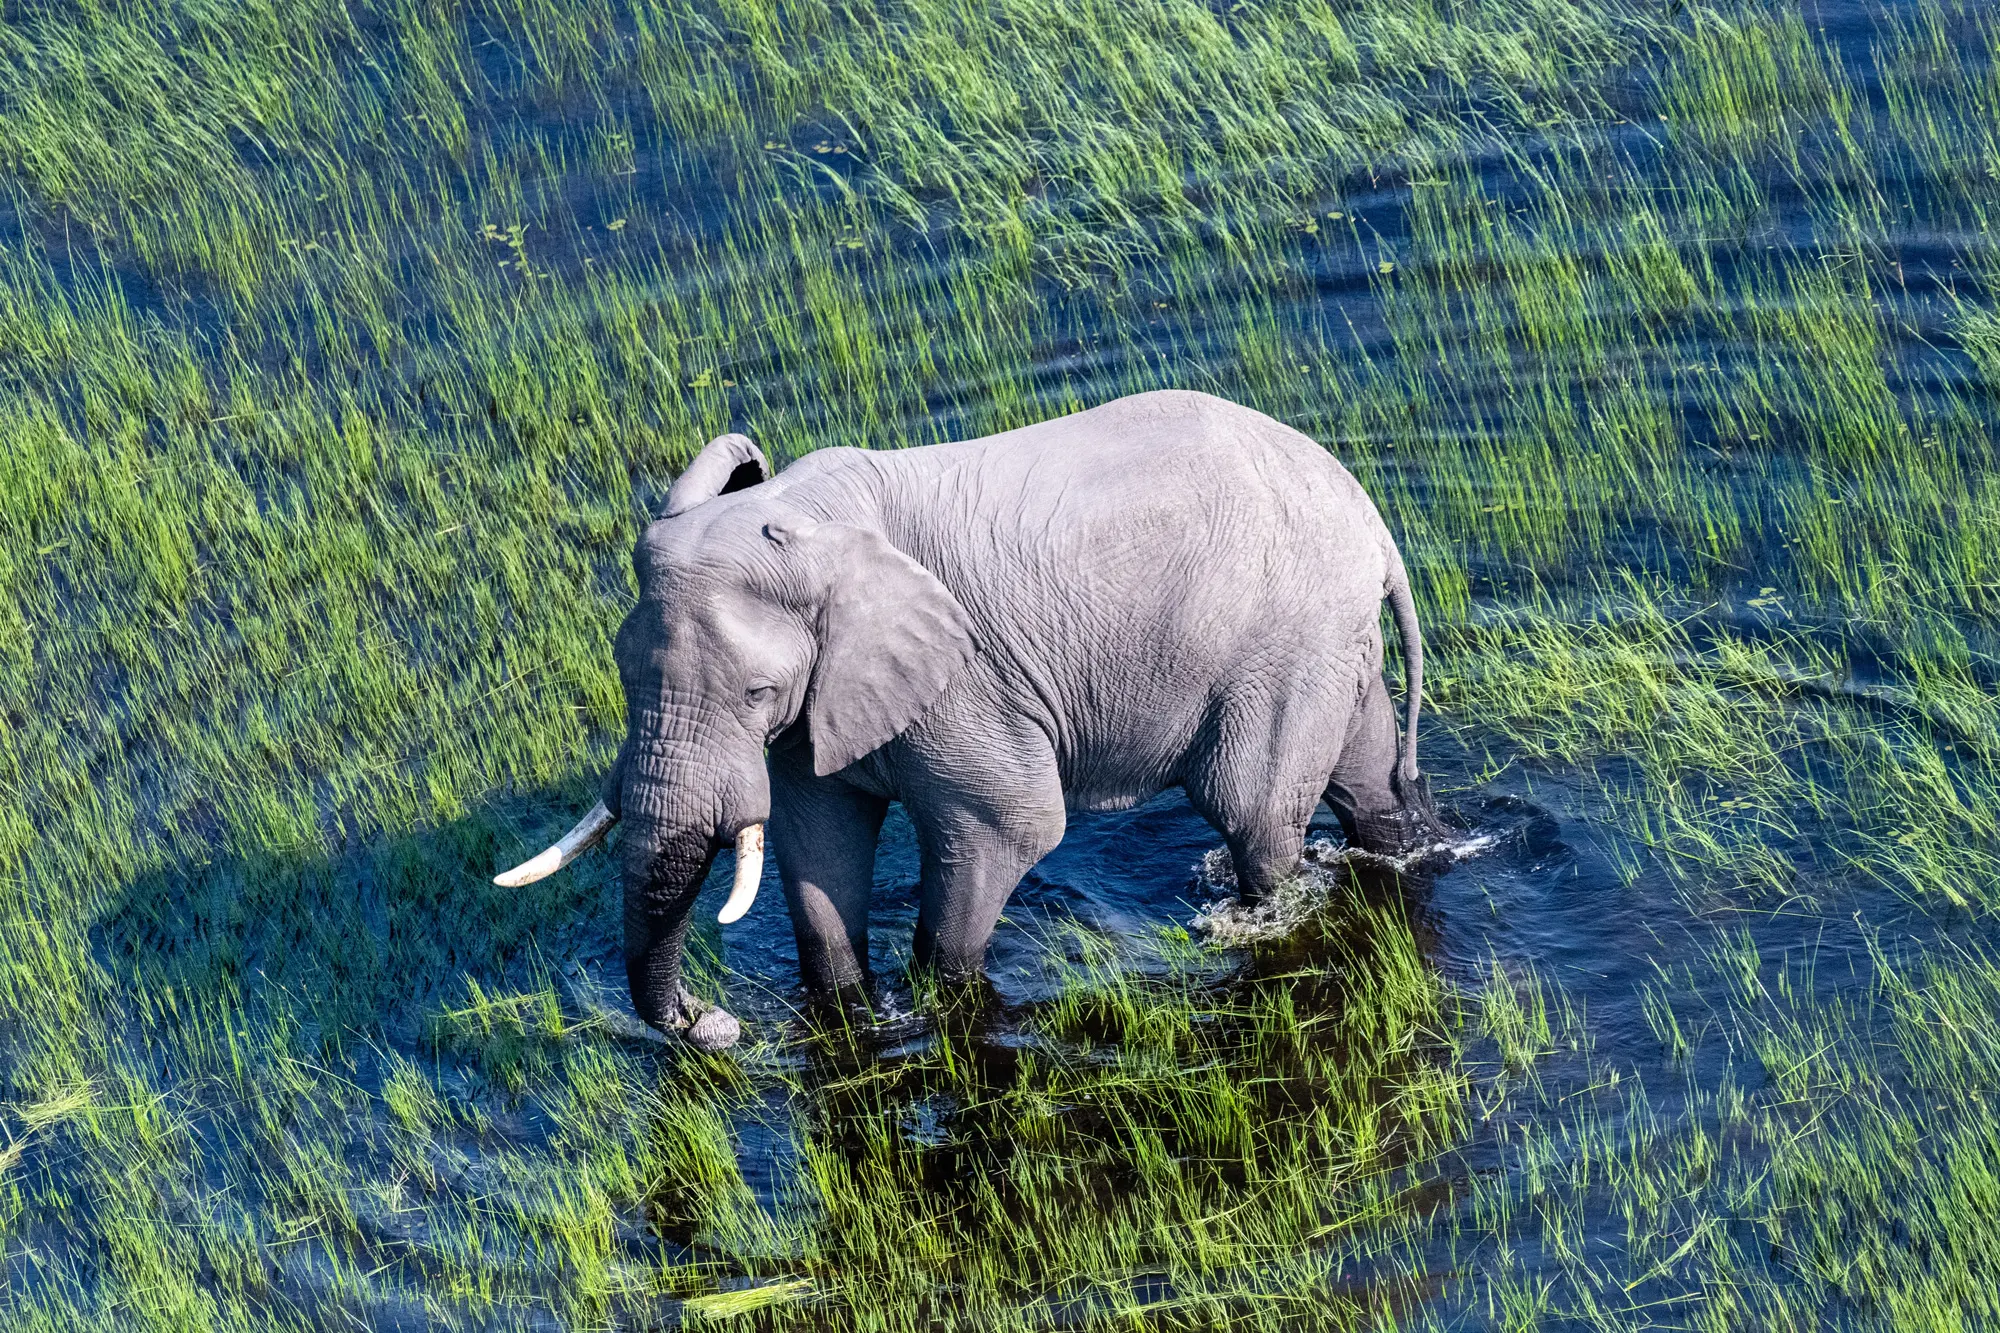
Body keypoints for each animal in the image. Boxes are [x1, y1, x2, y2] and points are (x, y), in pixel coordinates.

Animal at [495, 389, 1440, 1050]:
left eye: (757, 693)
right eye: (622, 677)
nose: (711, 1021)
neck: (809, 516)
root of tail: (1373, 521)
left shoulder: (964, 681)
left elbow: (1008, 825)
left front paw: (935, 1009)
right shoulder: (823, 704)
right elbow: (819, 841)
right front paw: (855, 1015)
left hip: (1283, 644)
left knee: (1254, 816)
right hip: (1326, 641)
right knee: (1362, 780)